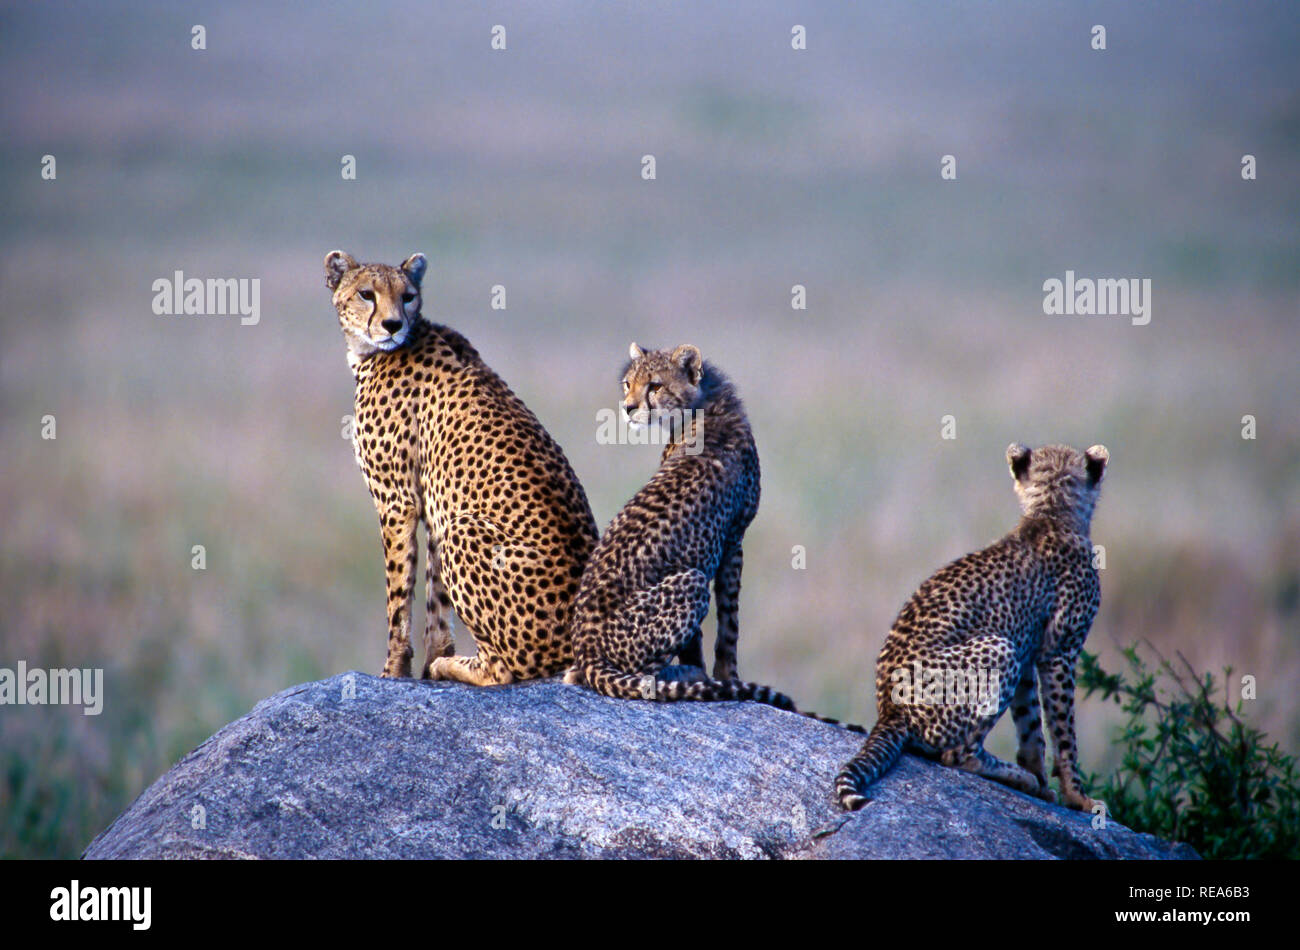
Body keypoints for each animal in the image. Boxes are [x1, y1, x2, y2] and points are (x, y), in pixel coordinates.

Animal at [324, 250, 598, 684]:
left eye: (408, 296)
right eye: (367, 293)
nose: (392, 325)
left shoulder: (398, 502)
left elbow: (398, 596)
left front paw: (394, 670)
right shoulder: (436, 504)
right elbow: (435, 600)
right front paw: (430, 661)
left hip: (465, 530)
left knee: (505, 669)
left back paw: (456, 667)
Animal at [834, 442, 1110, 813]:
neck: (1050, 512)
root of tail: (888, 710)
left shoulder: (1027, 652)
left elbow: (1031, 725)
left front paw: (1041, 780)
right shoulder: (1059, 653)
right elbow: (1064, 732)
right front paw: (1077, 796)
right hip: (998, 650)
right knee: (957, 754)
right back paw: (1012, 775)